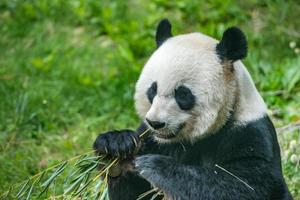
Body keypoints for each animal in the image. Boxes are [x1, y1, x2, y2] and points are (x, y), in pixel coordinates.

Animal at [92, 18, 292, 200]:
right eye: (152, 89)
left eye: (182, 94)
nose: (156, 123)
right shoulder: (150, 137)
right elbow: (135, 192)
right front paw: (117, 148)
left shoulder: (250, 132)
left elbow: (245, 185)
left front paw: (155, 166)